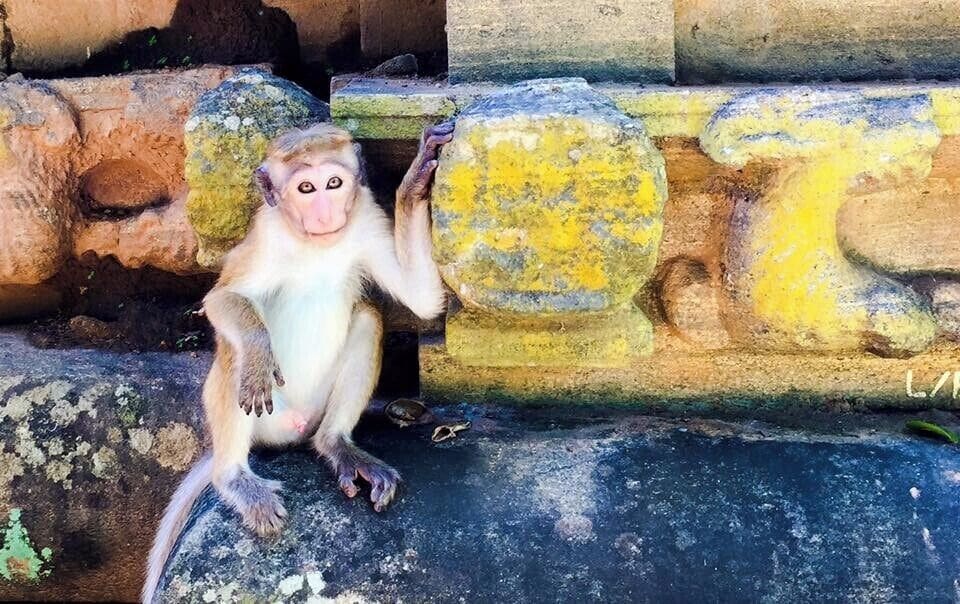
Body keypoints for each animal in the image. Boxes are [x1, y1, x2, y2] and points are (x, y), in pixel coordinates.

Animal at [142, 121, 454, 603]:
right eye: (306, 188)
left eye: (334, 183)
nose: (325, 215)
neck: (314, 244)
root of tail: (292, 430)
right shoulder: (265, 236)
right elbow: (221, 301)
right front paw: (257, 352)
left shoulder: (366, 220)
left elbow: (421, 298)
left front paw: (416, 178)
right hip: (265, 418)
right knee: (235, 356)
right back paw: (234, 476)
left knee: (368, 316)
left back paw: (337, 445)